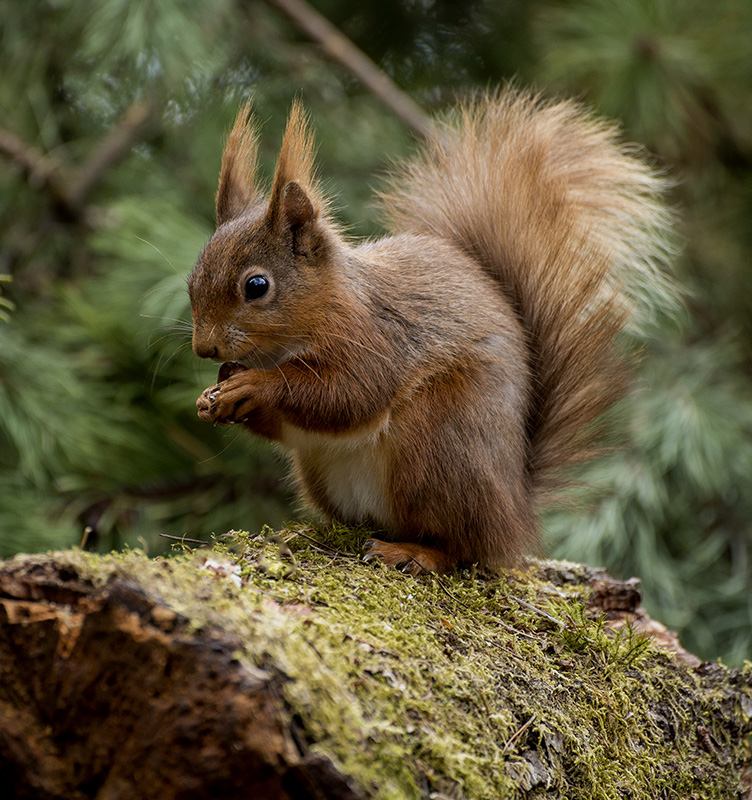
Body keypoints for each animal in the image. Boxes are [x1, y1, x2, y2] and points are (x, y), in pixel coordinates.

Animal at [189, 87, 676, 576]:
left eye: (256, 286)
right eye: (192, 280)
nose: (204, 348)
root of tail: (515, 510)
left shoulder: (376, 339)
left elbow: (347, 394)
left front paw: (254, 385)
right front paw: (215, 395)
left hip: (438, 444)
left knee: (460, 546)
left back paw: (412, 552)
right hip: (326, 472)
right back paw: (308, 533)